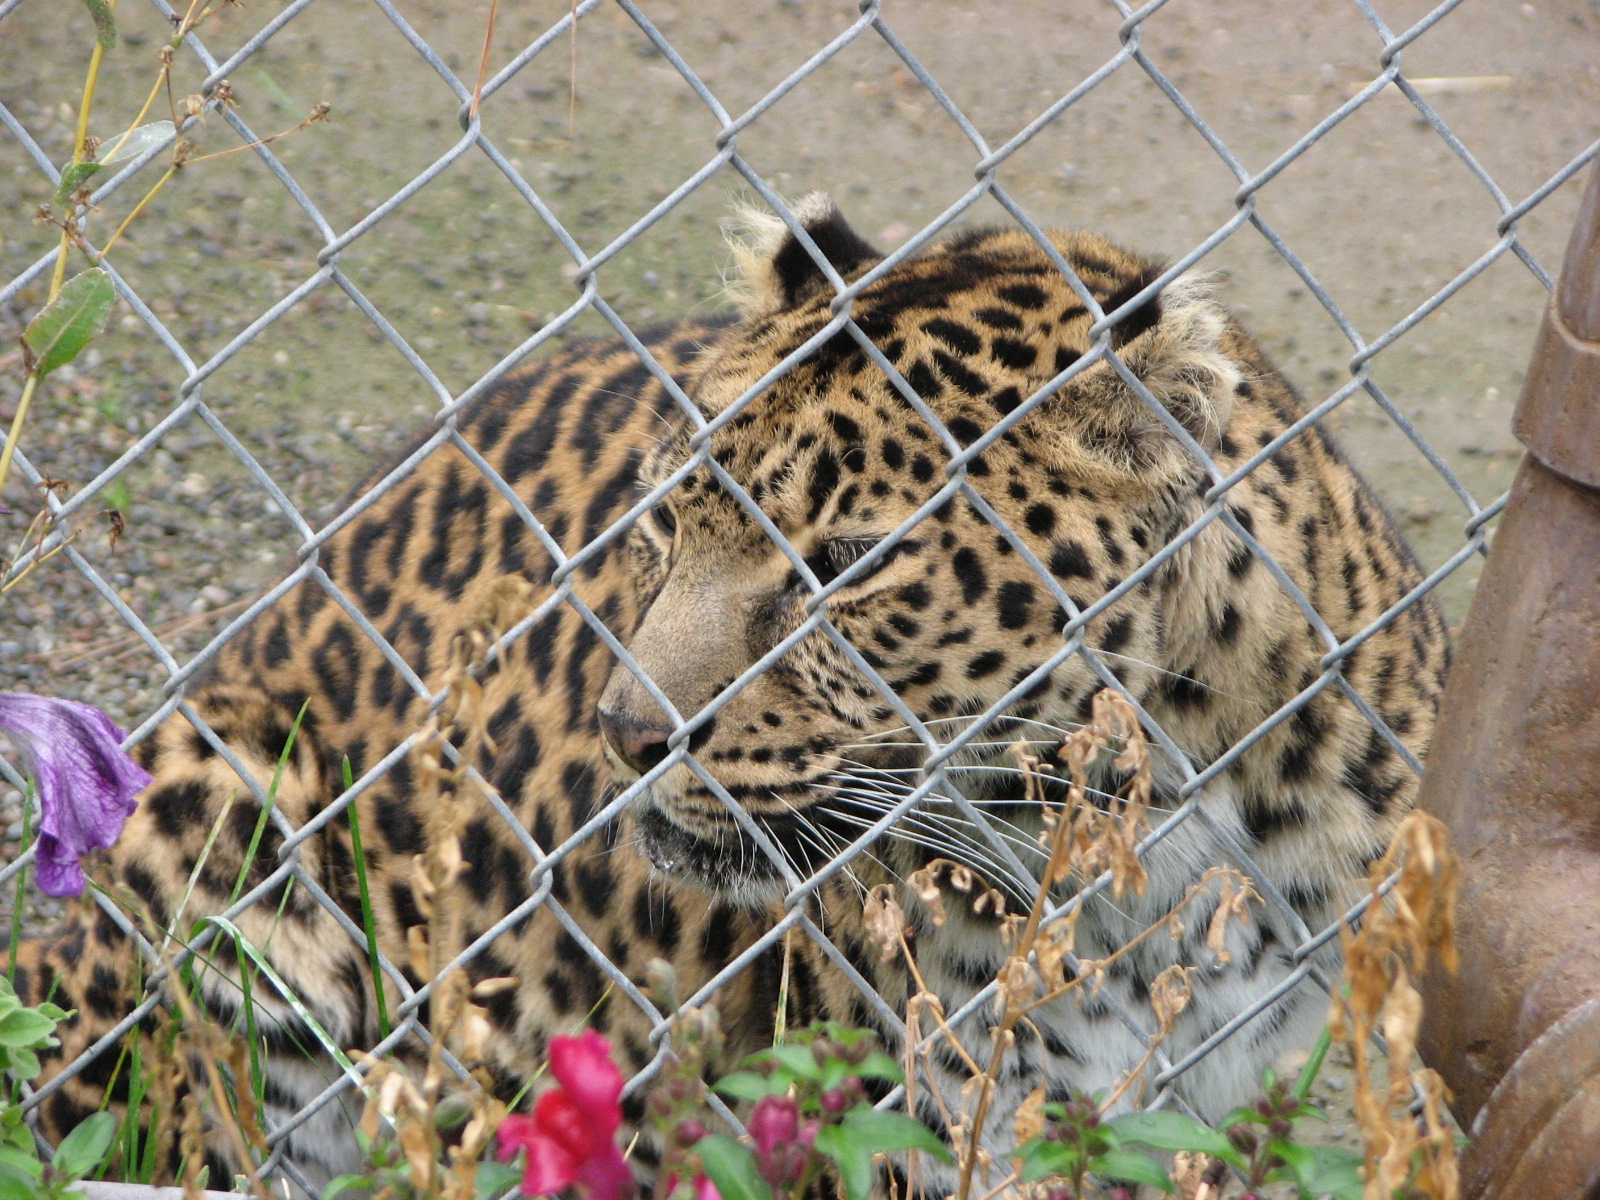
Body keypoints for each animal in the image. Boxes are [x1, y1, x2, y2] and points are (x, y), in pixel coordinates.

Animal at [9, 194, 1450, 1194]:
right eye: (665, 519)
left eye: (847, 565)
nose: (627, 732)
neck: (1151, 840)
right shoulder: (924, 1115)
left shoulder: (1208, 1094)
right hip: (205, 810)